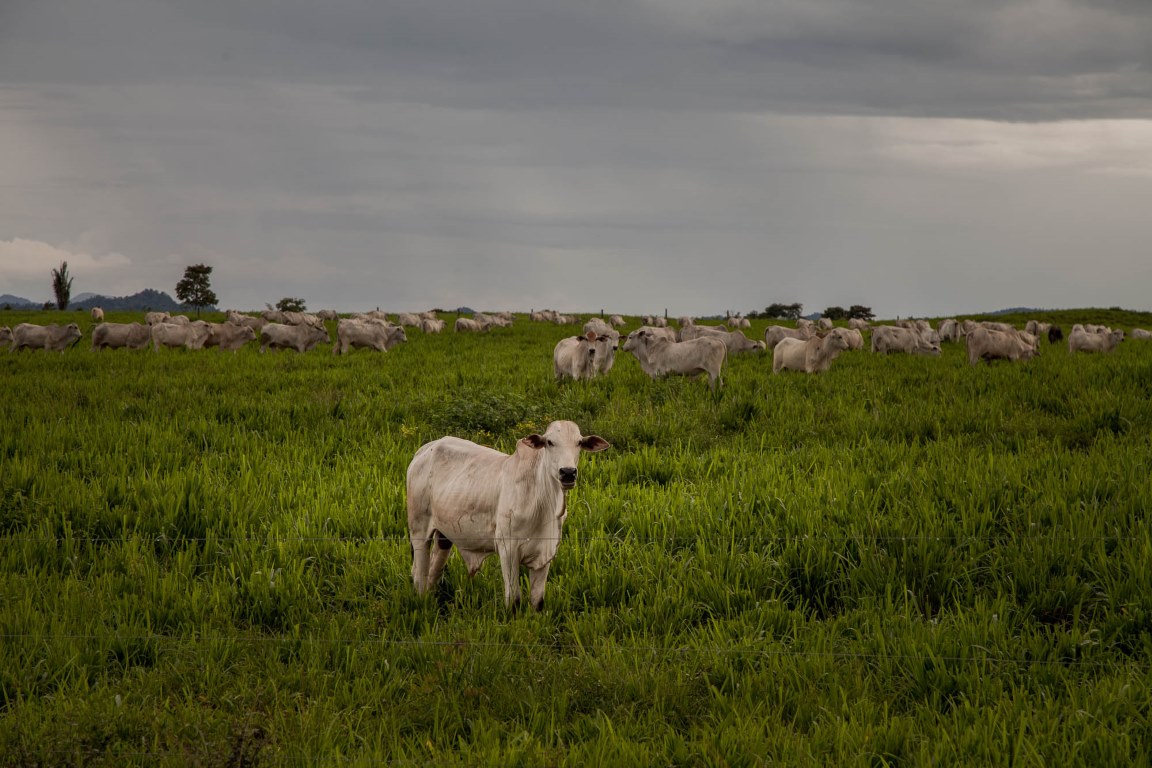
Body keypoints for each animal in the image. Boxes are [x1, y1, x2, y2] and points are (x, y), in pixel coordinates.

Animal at [407, 421, 612, 612]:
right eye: (549, 442)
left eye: (579, 442)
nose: (568, 472)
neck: (542, 502)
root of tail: (424, 450)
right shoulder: (508, 550)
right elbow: (514, 601)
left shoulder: (545, 553)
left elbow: (537, 602)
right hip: (419, 530)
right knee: (419, 574)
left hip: (444, 535)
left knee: (433, 570)